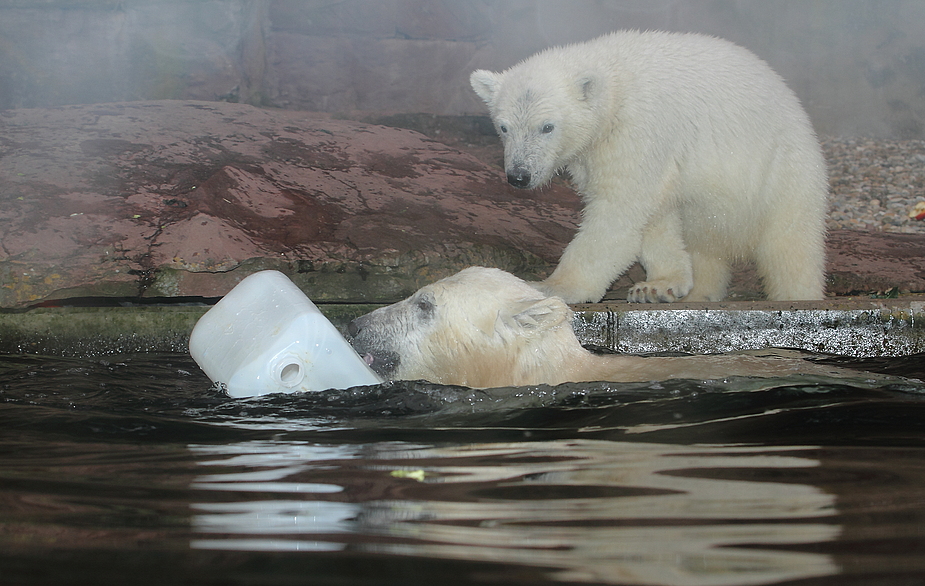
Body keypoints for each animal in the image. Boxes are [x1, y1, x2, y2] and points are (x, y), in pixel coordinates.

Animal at [470, 30, 832, 304]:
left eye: (547, 127)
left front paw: (550, 286)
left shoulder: (638, 130)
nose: (519, 176)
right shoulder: (606, 154)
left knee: (790, 247)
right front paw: (660, 285)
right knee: (704, 245)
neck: (614, 82)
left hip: (783, 169)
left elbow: (617, 215)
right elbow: (653, 216)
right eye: (504, 127)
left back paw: (799, 293)